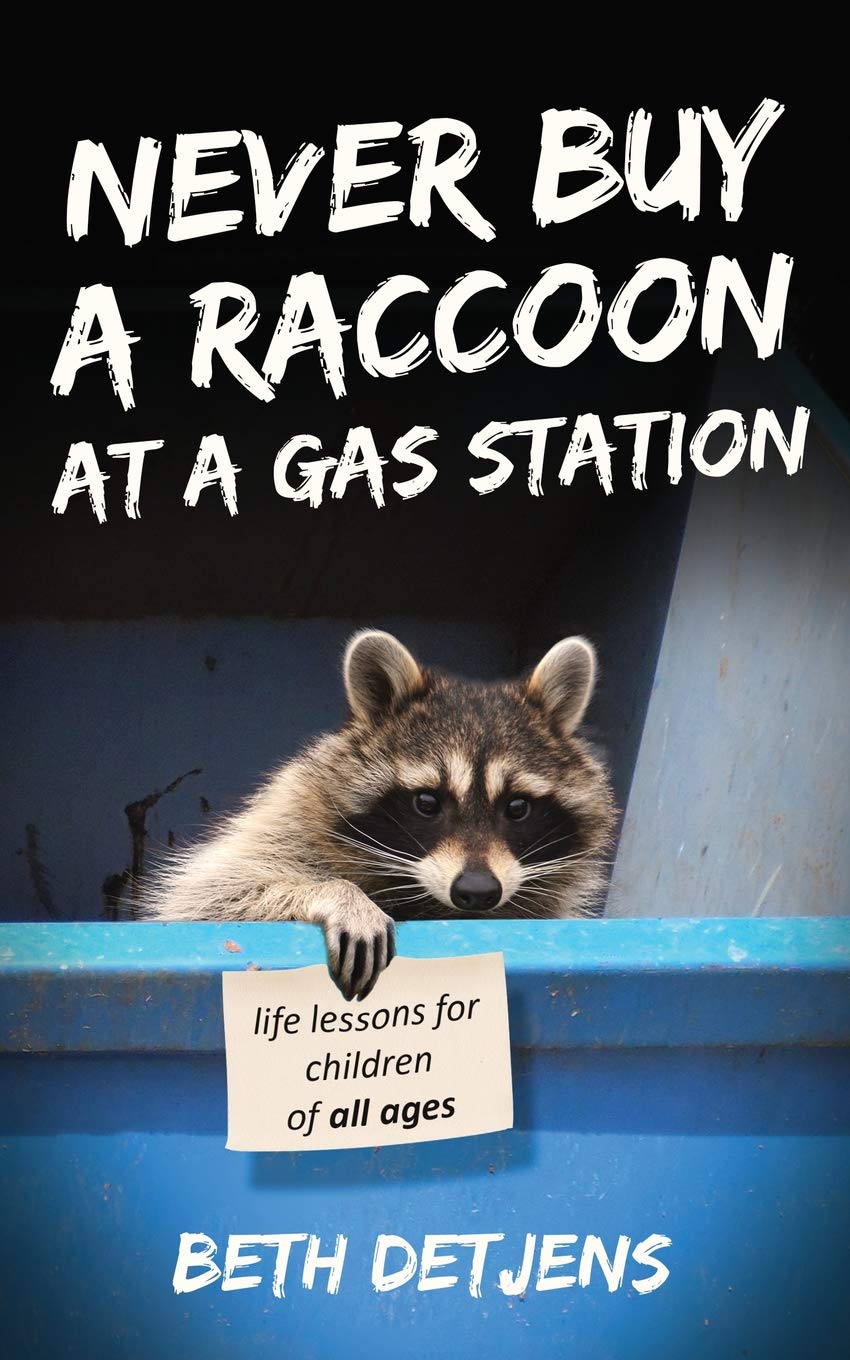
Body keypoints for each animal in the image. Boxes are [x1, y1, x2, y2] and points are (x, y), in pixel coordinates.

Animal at [144, 631, 615, 1001]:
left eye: (517, 807)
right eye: (427, 802)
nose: (477, 891)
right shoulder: (286, 817)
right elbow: (209, 898)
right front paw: (337, 893)